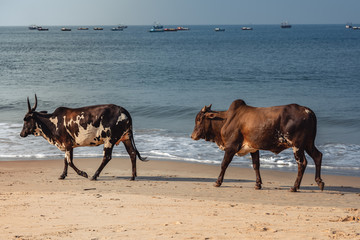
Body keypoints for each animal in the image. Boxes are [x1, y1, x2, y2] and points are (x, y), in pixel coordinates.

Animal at [20, 95, 148, 180]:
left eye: (26, 119)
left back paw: (94, 176)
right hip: (126, 138)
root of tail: (123, 110)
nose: (21, 134)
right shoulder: (68, 145)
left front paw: (83, 173)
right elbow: (66, 160)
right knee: (132, 153)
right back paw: (132, 177)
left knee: (106, 157)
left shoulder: (67, 143)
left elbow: (70, 161)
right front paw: (62, 175)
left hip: (109, 139)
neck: (53, 122)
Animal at [193, 99, 324, 191]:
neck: (226, 120)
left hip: (297, 145)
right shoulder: (253, 148)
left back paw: (295, 187)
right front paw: (258, 184)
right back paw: (319, 182)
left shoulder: (231, 147)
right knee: (318, 156)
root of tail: (308, 111)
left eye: (199, 119)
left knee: (302, 163)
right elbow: (256, 165)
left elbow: (224, 164)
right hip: (308, 143)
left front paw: (217, 182)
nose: (192, 135)